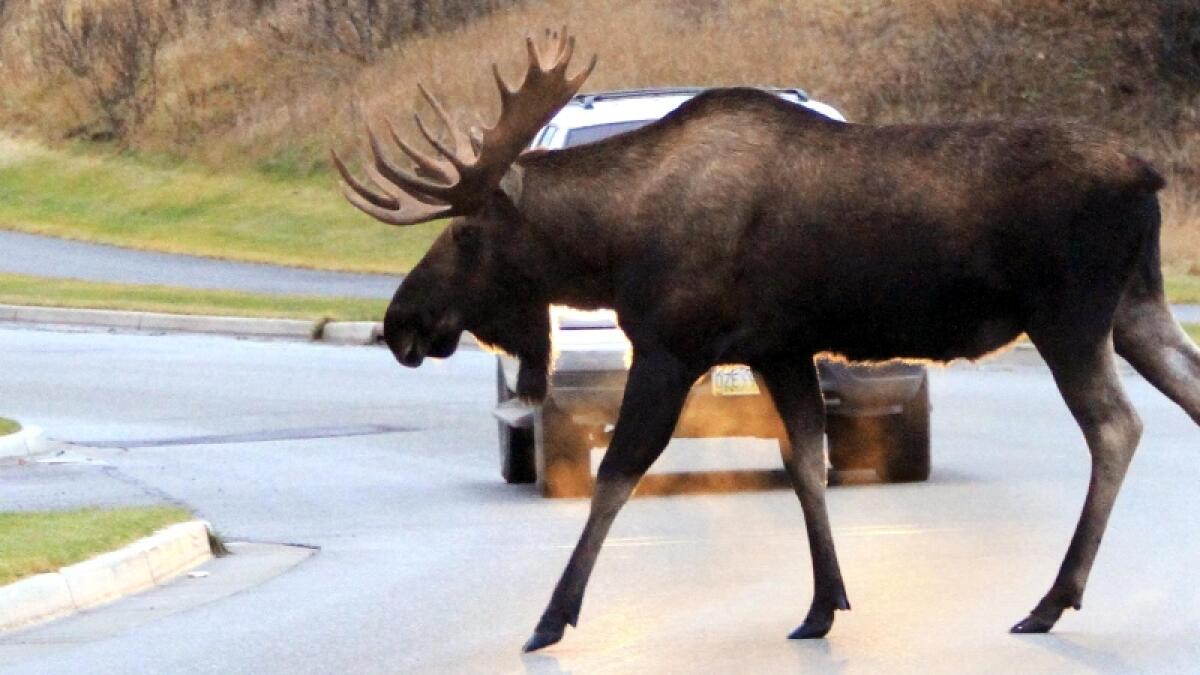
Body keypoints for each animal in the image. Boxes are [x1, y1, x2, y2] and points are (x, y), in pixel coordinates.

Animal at [331, 30, 1190, 648]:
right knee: (1189, 390)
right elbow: (808, 461)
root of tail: (1146, 175)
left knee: (1117, 426)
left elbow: (617, 473)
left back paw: (1052, 599)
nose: (402, 322)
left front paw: (550, 617)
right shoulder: (778, 347)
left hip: (1069, 314)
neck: (612, 247)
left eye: (465, 233)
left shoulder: (671, 346)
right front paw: (822, 605)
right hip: (1136, 307)